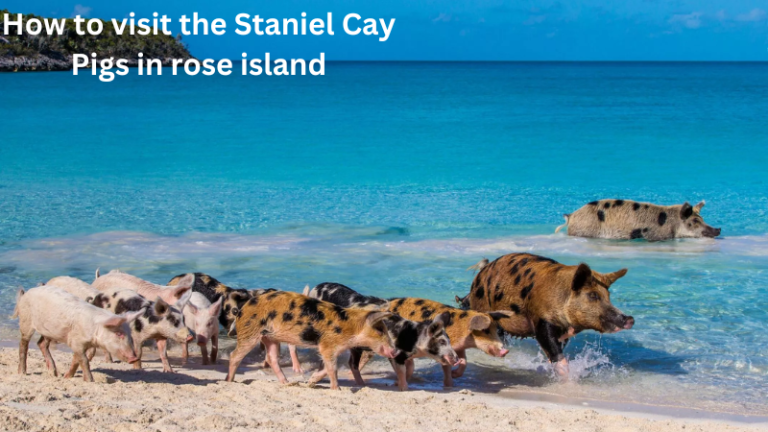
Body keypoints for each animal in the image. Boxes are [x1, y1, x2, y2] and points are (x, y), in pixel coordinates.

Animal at [12, 286, 143, 382]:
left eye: (130, 335)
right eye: (119, 334)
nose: (134, 357)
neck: (94, 331)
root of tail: (26, 293)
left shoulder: (82, 344)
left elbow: (76, 360)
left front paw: (66, 377)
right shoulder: (76, 342)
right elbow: (84, 361)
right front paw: (90, 381)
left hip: (49, 331)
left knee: (41, 343)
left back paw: (54, 374)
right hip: (26, 321)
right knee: (23, 344)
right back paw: (22, 373)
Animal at [225, 290, 396, 390]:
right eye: (380, 330)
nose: (394, 351)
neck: (349, 327)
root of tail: (241, 310)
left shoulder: (331, 348)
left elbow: (325, 368)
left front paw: (310, 382)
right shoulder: (327, 345)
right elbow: (332, 368)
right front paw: (337, 390)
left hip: (269, 337)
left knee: (272, 357)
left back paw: (287, 383)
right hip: (250, 332)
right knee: (235, 355)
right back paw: (229, 381)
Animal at [304, 282, 459, 390]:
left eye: (449, 340)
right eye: (441, 341)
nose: (457, 359)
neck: (412, 338)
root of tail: (317, 287)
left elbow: (410, 368)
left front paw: (397, 383)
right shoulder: (395, 354)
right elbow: (402, 370)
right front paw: (403, 388)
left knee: (351, 364)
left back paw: (361, 384)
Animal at [388, 297, 518, 387]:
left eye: (496, 330)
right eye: (485, 331)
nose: (505, 350)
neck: (464, 331)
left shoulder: (459, 348)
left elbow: (464, 361)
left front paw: (455, 374)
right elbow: (447, 366)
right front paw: (450, 385)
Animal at [456, 253, 634, 377]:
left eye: (608, 296)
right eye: (593, 295)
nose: (629, 319)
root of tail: (479, 275)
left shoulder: (563, 333)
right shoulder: (541, 321)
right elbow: (554, 350)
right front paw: (567, 379)